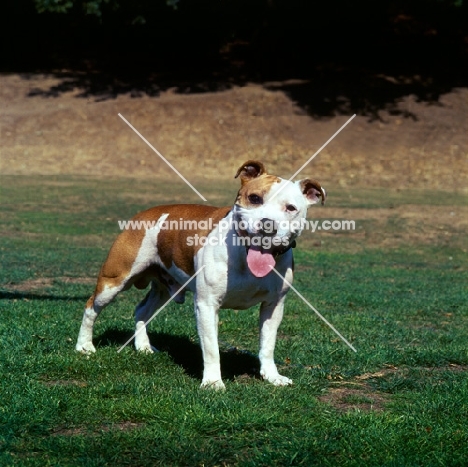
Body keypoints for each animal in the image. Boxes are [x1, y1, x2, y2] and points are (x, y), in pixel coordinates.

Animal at [77, 161, 326, 392]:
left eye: (291, 208)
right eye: (255, 198)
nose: (268, 225)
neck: (244, 252)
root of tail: (145, 213)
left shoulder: (274, 306)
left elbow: (268, 344)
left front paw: (272, 376)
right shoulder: (207, 305)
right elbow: (211, 348)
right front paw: (213, 382)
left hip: (164, 287)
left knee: (142, 310)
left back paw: (143, 347)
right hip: (115, 279)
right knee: (91, 306)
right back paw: (84, 346)